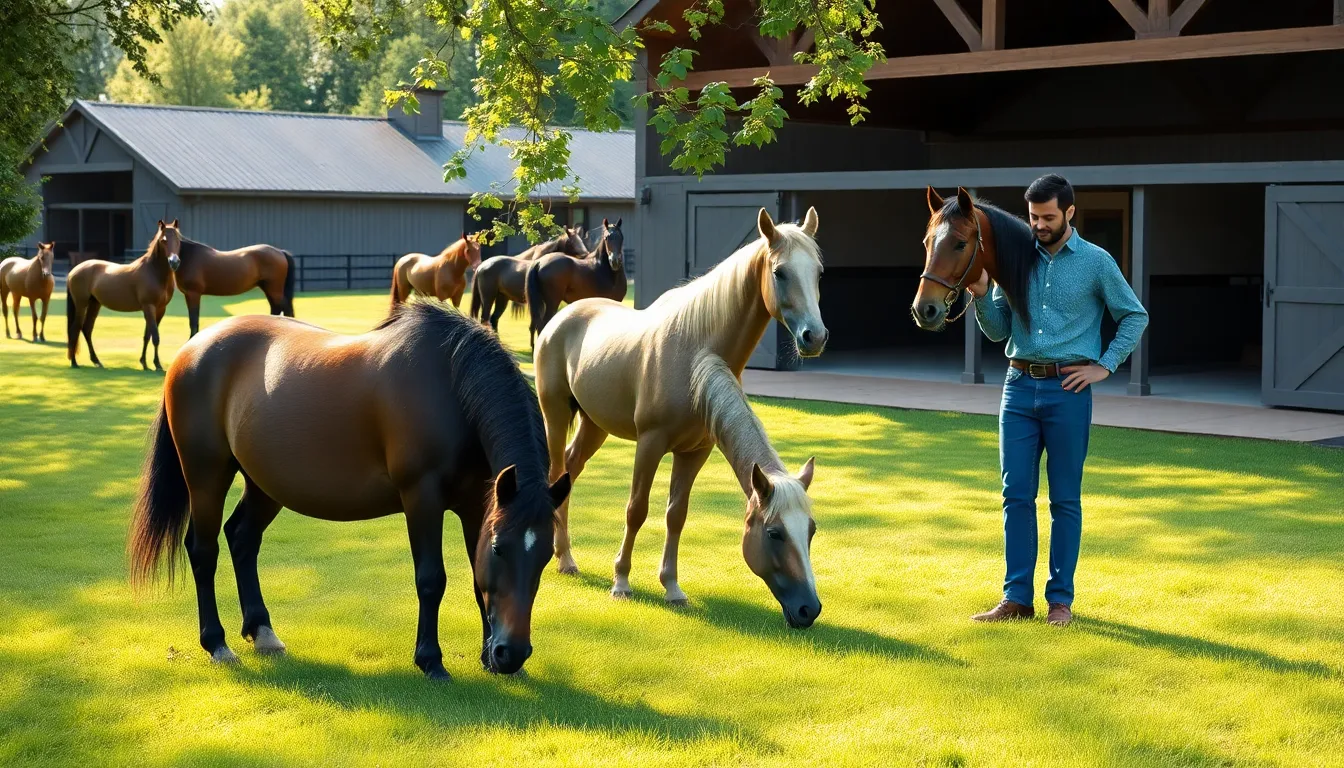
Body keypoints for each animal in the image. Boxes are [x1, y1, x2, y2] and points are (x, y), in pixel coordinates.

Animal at [67, 220, 180, 370]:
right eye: (163, 240)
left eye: (178, 240)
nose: (174, 262)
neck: (154, 272)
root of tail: (73, 271)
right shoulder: (149, 306)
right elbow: (155, 337)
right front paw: (157, 365)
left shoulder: (160, 309)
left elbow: (148, 335)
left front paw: (144, 362)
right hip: (81, 304)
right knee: (75, 329)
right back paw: (74, 362)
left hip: (94, 304)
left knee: (87, 329)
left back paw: (96, 361)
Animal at [128, 299, 571, 679]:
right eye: (500, 548)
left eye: (545, 554)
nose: (511, 654)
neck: (450, 384)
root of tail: (193, 348)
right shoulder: (422, 498)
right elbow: (431, 578)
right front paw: (431, 661)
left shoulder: (478, 504)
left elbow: (478, 581)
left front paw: (486, 658)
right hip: (206, 475)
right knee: (204, 551)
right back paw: (217, 645)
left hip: (264, 483)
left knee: (242, 538)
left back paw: (263, 632)